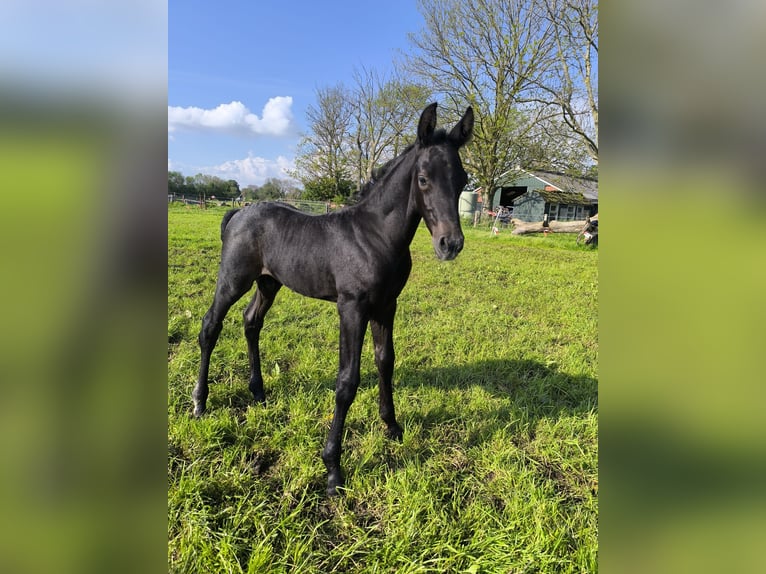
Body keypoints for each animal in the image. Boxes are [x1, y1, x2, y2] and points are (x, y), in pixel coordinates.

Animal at [194, 102, 474, 496]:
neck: (375, 236)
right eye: (423, 179)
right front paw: (332, 470)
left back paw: (259, 393)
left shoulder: (387, 306)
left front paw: (392, 427)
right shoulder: (351, 308)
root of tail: (238, 212)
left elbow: (386, 361)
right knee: (210, 326)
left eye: (462, 179)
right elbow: (347, 381)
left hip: (268, 282)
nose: (450, 244)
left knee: (252, 322)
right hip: (234, 279)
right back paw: (200, 403)